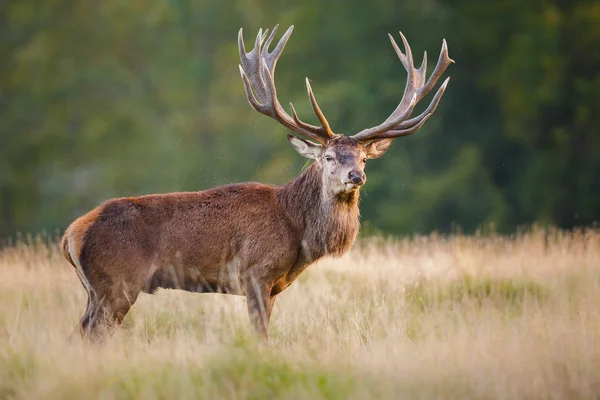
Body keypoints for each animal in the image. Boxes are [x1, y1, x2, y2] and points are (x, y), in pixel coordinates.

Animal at [61, 24, 452, 340]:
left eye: (363, 157)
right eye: (328, 157)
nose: (356, 175)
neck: (297, 230)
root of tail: (70, 235)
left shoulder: (275, 286)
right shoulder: (255, 273)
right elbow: (261, 335)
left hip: (96, 289)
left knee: (82, 328)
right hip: (118, 282)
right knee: (94, 331)